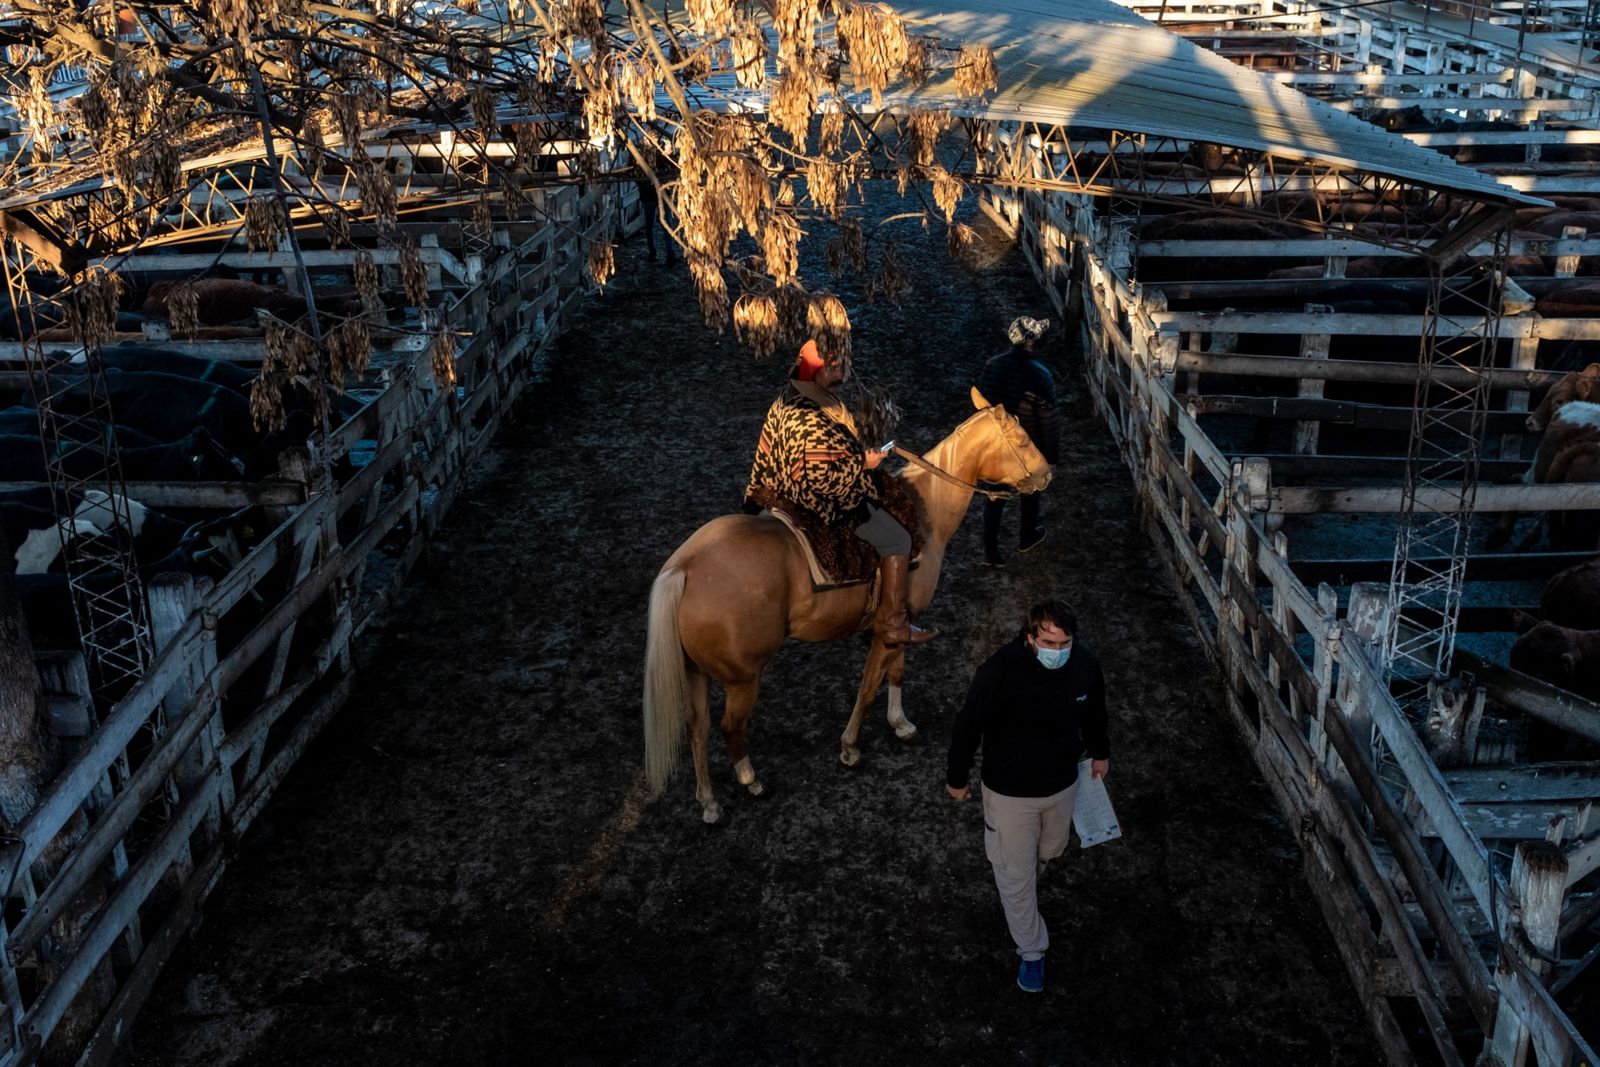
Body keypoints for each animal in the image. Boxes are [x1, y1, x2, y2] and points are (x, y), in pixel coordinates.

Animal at [643, 388, 1056, 825]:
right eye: (1024, 439)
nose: (1047, 474)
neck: (925, 510)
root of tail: (686, 566)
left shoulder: (904, 622)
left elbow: (896, 673)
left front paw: (901, 724)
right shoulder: (888, 628)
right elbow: (869, 686)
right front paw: (851, 747)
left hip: (696, 673)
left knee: (697, 728)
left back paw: (709, 801)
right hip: (743, 678)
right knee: (730, 728)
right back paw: (750, 781)